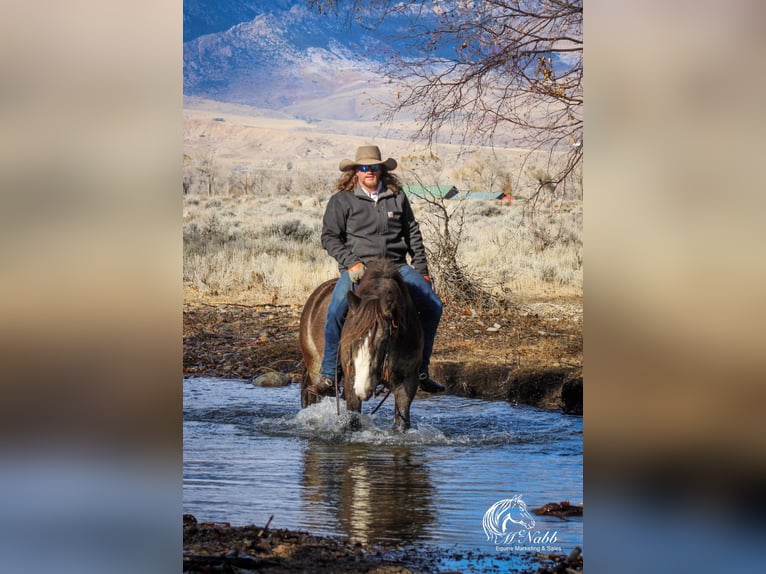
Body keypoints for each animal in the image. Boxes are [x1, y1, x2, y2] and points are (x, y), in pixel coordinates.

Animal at [298, 260, 426, 432]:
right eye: (350, 337)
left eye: (384, 339)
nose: (362, 388)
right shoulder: (351, 379)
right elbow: (353, 420)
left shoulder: (407, 382)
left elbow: (401, 422)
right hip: (314, 366)